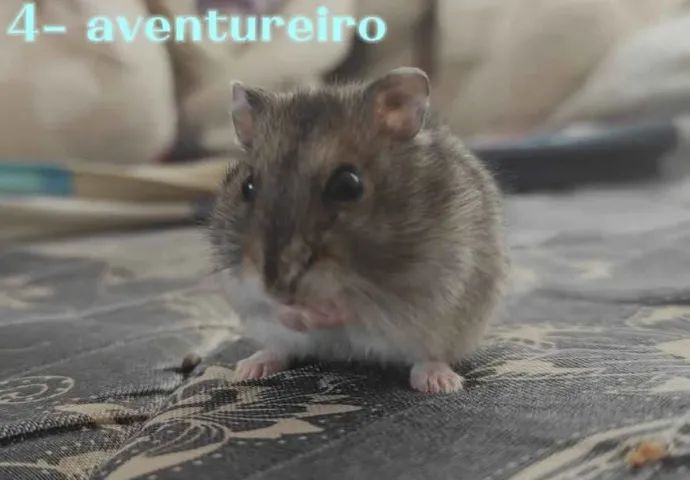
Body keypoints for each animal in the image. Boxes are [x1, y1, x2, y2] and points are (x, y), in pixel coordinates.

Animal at [209, 67, 508, 394]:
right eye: (247, 186)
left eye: (347, 185)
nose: (278, 290)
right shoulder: (241, 286)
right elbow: (266, 306)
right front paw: (295, 315)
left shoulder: (420, 285)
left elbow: (354, 306)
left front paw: (317, 312)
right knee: (280, 348)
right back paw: (248, 369)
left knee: (429, 357)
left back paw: (440, 383)